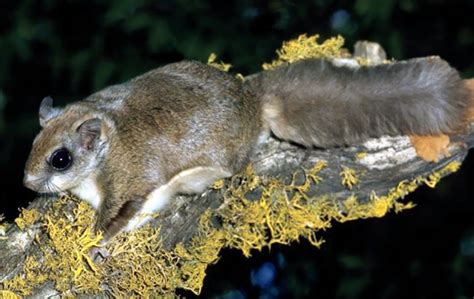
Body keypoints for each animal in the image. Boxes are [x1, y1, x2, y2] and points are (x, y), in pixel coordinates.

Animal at [23, 56, 474, 241]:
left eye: (60, 159)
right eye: (33, 144)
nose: (27, 181)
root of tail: (253, 103)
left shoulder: (131, 182)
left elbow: (118, 217)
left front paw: (93, 244)